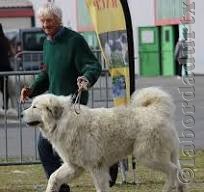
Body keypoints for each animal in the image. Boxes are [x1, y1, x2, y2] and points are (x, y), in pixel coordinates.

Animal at [21, 87, 185, 192]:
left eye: (34, 107)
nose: (21, 114)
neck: (63, 121)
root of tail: (156, 110)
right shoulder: (74, 166)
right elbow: (53, 177)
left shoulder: (97, 167)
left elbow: (101, 188)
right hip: (165, 155)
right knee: (179, 176)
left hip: (148, 157)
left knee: (172, 170)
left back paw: (166, 189)